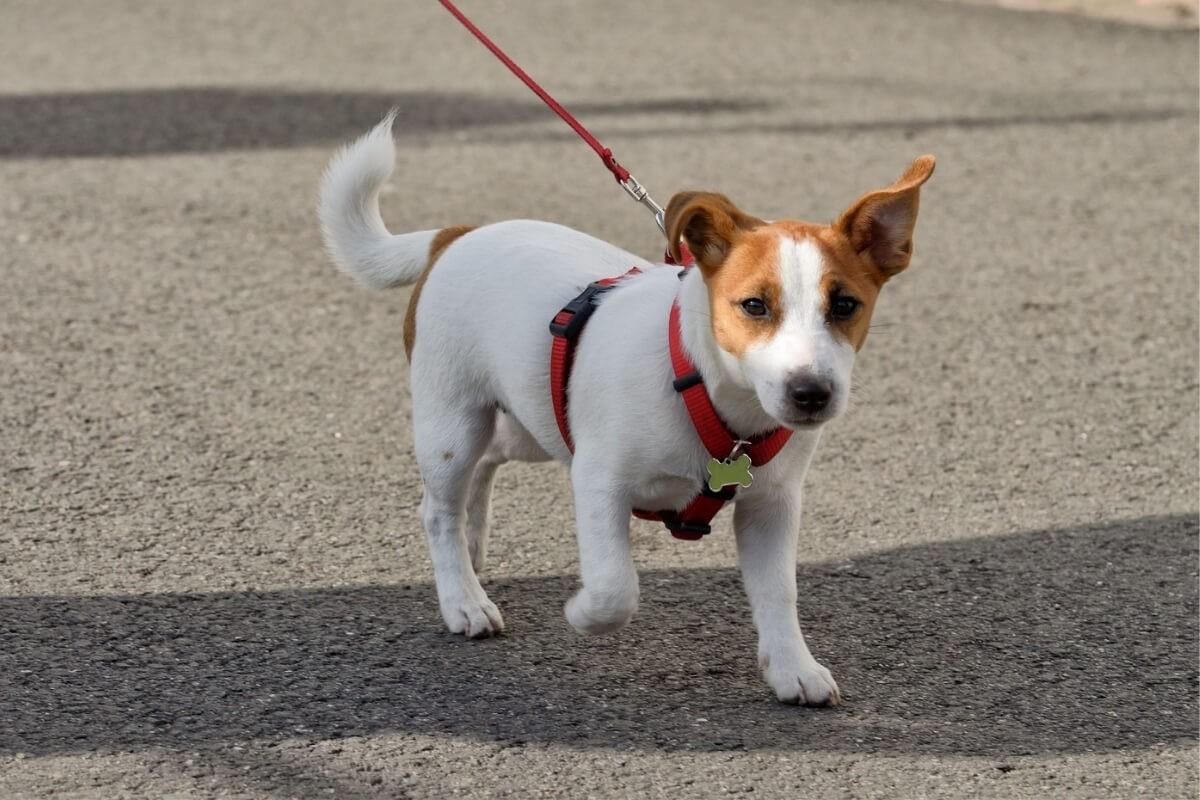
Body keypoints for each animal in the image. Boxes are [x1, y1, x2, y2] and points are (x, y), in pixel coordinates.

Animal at [314, 113, 931, 705]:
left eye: (845, 305)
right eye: (754, 306)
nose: (811, 393)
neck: (706, 390)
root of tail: (456, 236)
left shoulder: (771, 507)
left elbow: (780, 592)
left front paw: (792, 669)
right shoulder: (598, 481)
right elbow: (616, 588)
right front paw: (583, 612)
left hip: (532, 418)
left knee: (488, 463)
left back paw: (472, 546)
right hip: (452, 422)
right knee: (439, 508)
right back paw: (462, 598)